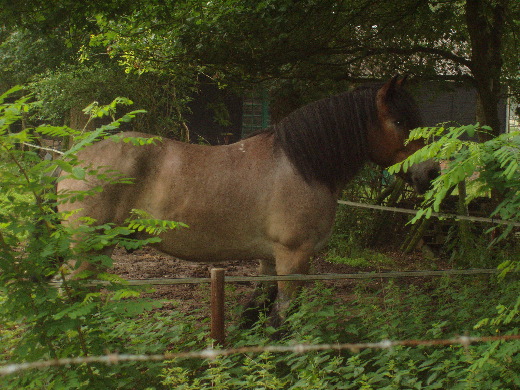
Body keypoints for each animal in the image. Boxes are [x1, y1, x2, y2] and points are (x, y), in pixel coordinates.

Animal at [57, 76, 438, 322]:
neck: (301, 166)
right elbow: (281, 321)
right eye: (400, 121)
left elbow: (254, 314)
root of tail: (73, 157)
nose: (432, 172)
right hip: (86, 249)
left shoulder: (270, 260)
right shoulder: (293, 259)